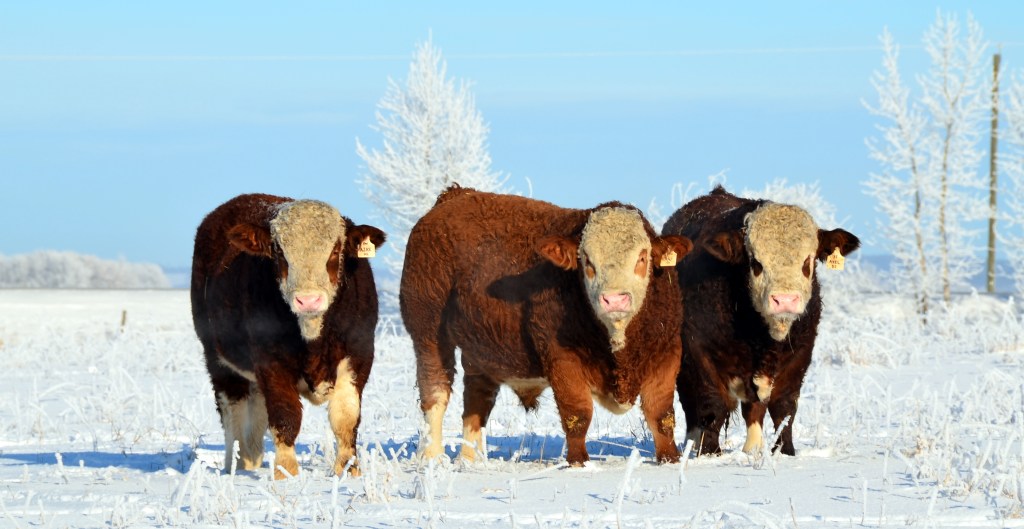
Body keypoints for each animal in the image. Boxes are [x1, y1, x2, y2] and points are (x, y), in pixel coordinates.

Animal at [191, 193, 385, 479]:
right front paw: (286, 473)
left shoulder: (359, 355)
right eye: (280, 252)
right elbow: (285, 416)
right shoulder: (271, 363)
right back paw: (235, 466)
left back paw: (251, 459)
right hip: (219, 361)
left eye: (335, 250)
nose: (308, 300)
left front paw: (348, 470)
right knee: (233, 414)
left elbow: (345, 418)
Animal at [400, 184, 693, 466]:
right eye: (587, 260)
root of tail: (455, 195)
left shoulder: (667, 353)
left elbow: (661, 415)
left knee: (476, 400)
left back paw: (472, 461)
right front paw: (578, 463)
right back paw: (432, 459)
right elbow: (577, 414)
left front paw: (670, 459)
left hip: (480, 348)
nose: (614, 299)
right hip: (428, 333)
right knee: (435, 393)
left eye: (642, 257)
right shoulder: (562, 359)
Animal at [661, 185, 859, 456]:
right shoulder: (698, 350)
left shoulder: (800, 355)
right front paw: (710, 453)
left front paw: (784, 451)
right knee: (693, 407)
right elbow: (712, 403)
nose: (785, 300)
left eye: (807, 261)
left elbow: (784, 407)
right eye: (756, 262)